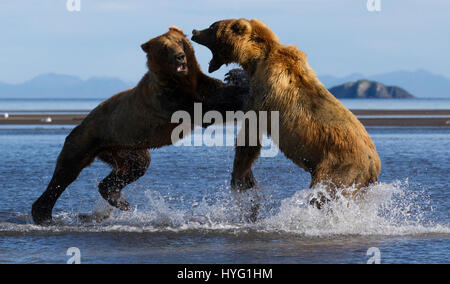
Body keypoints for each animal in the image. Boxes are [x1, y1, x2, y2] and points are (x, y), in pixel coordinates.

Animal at [30, 27, 250, 226]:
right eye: (164, 48)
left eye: (179, 42)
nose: (180, 57)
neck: (181, 80)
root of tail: (82, 123)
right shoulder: (170, 100)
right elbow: (209, 109)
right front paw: (241, 88)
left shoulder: (198, 82)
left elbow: (218, 90)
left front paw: (237, 76)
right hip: (90, 138)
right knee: (65, 173)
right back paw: (43, 214)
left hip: (124, 148)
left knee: (136, 167)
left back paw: (118, 199)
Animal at [192, 19, 382, 206]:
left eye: (212, 27)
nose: (194, 31)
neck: (256, 60)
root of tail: (375, 166)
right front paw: (235, 74)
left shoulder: (264, 95)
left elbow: (250, 137)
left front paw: (240, 178)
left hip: (340, 168)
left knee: (323, 194)